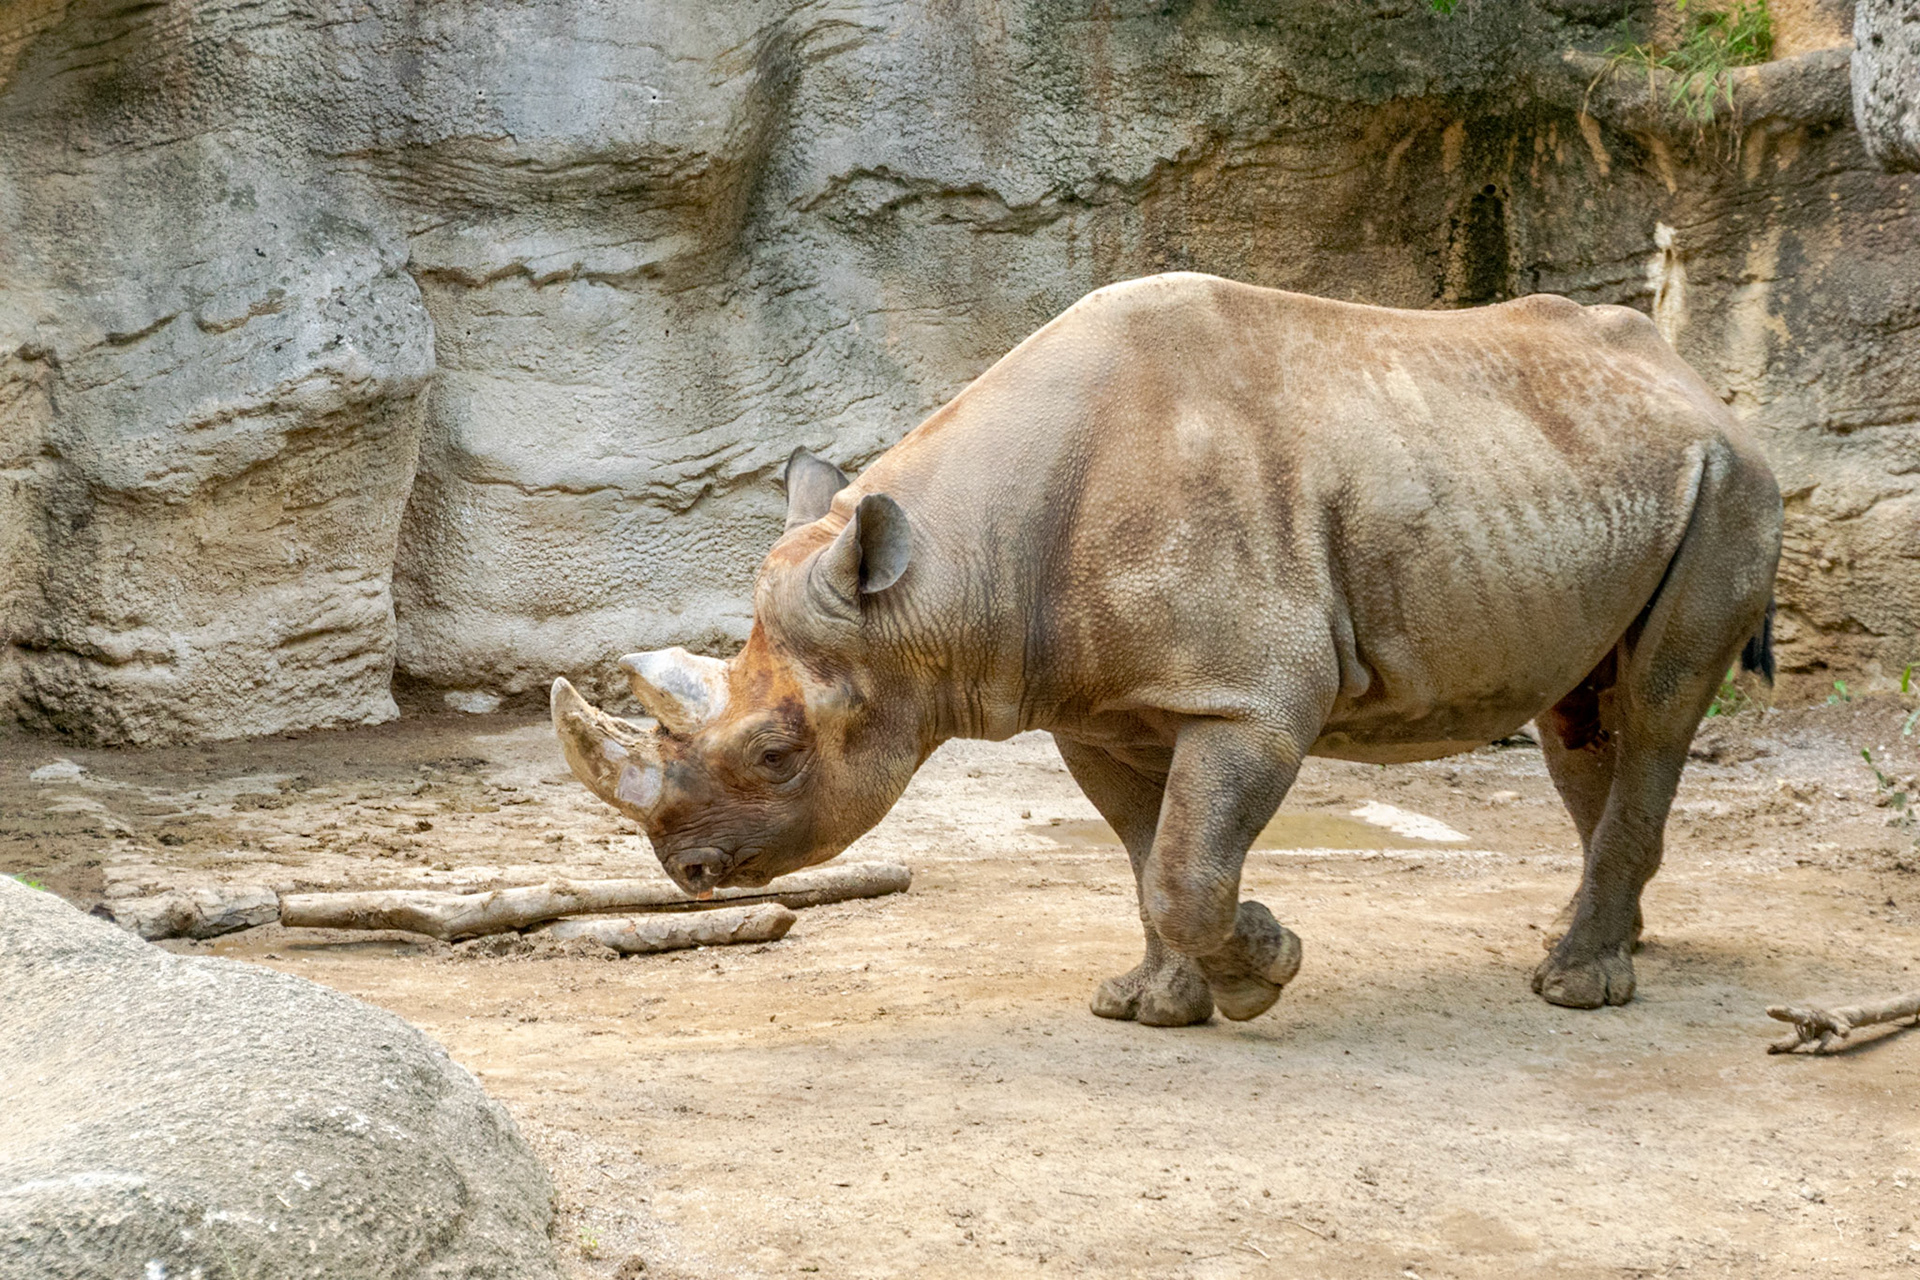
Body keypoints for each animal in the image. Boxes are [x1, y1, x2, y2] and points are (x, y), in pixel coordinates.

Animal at [552, 272, 1781, 1026]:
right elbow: (1151, 857)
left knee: (1658, 708)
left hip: (1730, 485)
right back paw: (1614, 949)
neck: (942, 580)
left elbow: (1189, 867)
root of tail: (1701, 388)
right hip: (1593, 473)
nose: (686, 873)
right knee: (1582, 720)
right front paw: (1154, 1004)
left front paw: (1267, 969)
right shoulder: (1089, 706)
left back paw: (1576, 985)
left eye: (775, 753)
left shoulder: (1251, 699)